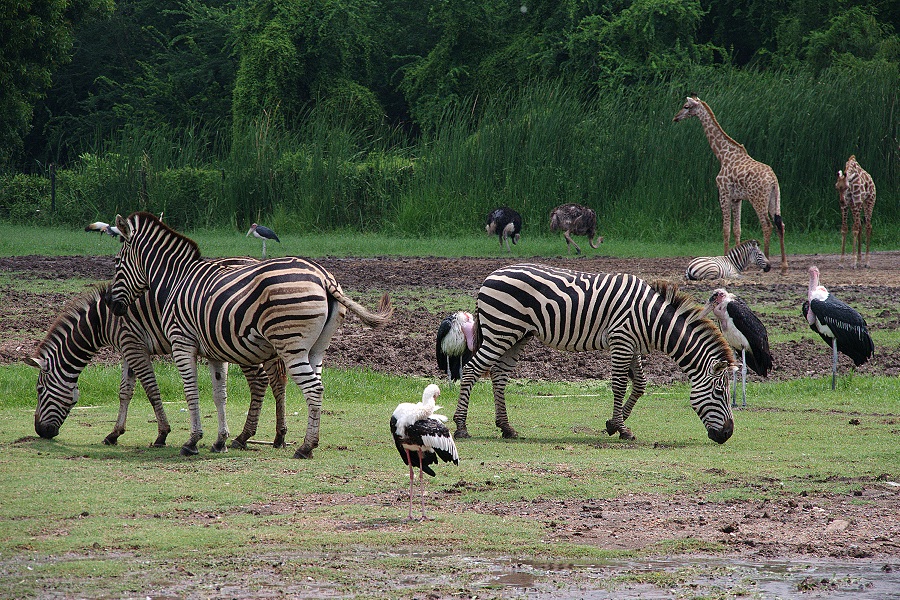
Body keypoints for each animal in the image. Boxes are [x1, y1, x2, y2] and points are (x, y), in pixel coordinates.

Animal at [106, 213, 394, 458]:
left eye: (118, 263)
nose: (111, 304)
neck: (174, 280)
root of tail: (325, 278)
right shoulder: (214, 352)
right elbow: (219, 394)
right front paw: (219, 441)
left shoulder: (182, 342)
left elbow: (191, 391)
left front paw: (192, 441)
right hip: (316, 349)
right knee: (316, 386)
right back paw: (307, 442)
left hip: (290, 344)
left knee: (313, 389)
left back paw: (305, 447)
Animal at [458, 264, 740, 442]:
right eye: (719, 393)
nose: (727, 435)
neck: (651, 319)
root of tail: (490, 276)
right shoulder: (621, 339)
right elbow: (619, 385)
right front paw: (622, 429)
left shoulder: (632, 344)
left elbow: (640, 384)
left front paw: (614, 424)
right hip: (501, 330)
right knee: (471, 369)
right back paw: (461, 427)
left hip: (517, 335)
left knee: (499, 375)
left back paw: (506, 428)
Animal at [676, 94, 788, 272]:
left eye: (686, 106)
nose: (676, 118)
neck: (722, 154)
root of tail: (773, 180)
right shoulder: (737, 198)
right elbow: (737, 229)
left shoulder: (724, 193)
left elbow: (726, 229)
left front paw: (725, 257)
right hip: (774, 199)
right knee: (780, 224)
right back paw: (784, 265)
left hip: (758, 199)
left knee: (767, 225)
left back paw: (766, 262)